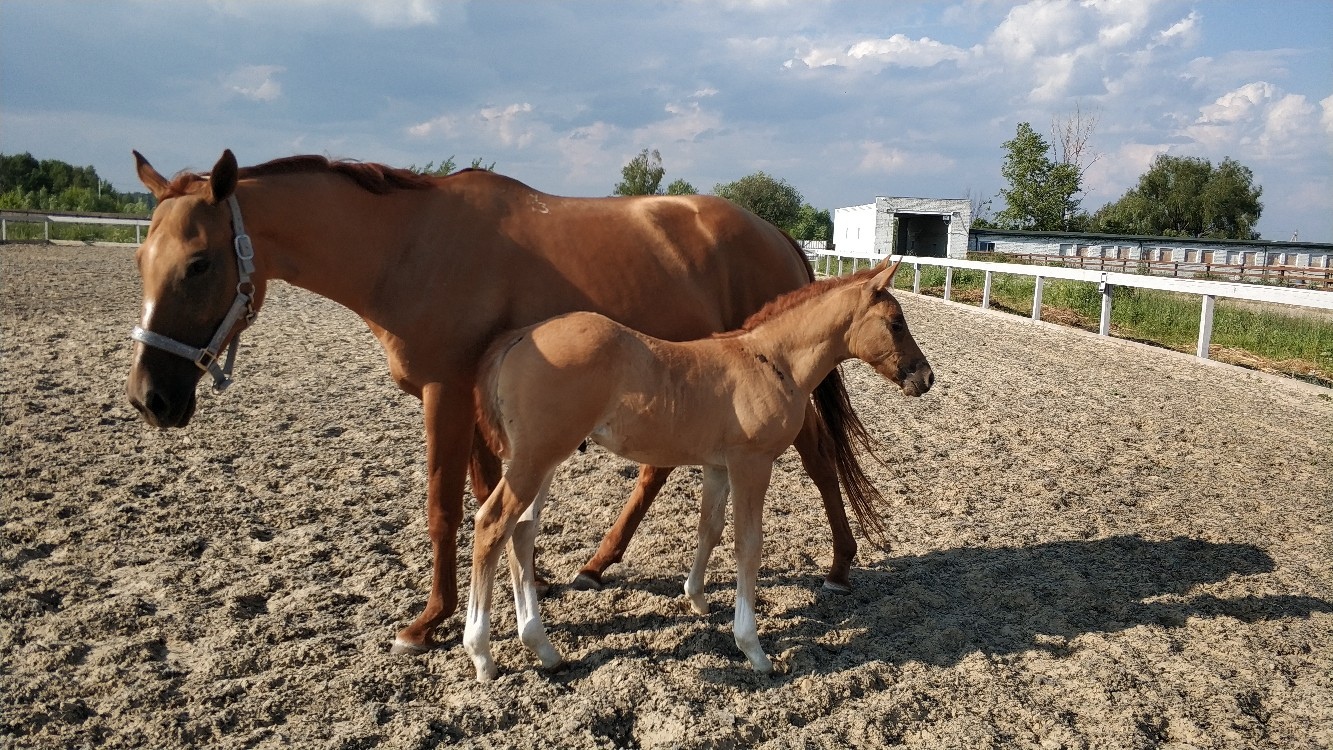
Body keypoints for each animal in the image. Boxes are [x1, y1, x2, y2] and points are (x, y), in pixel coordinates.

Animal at [463, 259, 933, 682]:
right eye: (896, 323)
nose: (925, 378)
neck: (769, 361)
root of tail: (521, 337)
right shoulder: (751, 464)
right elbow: (748, 544)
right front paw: (753, 648)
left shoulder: (717, 465)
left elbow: (710, 528)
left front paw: (697, 600)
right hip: (536, 459)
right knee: (492, 524)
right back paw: (482, 655)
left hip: (541, 461)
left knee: (521, 532)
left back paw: (542, 646)